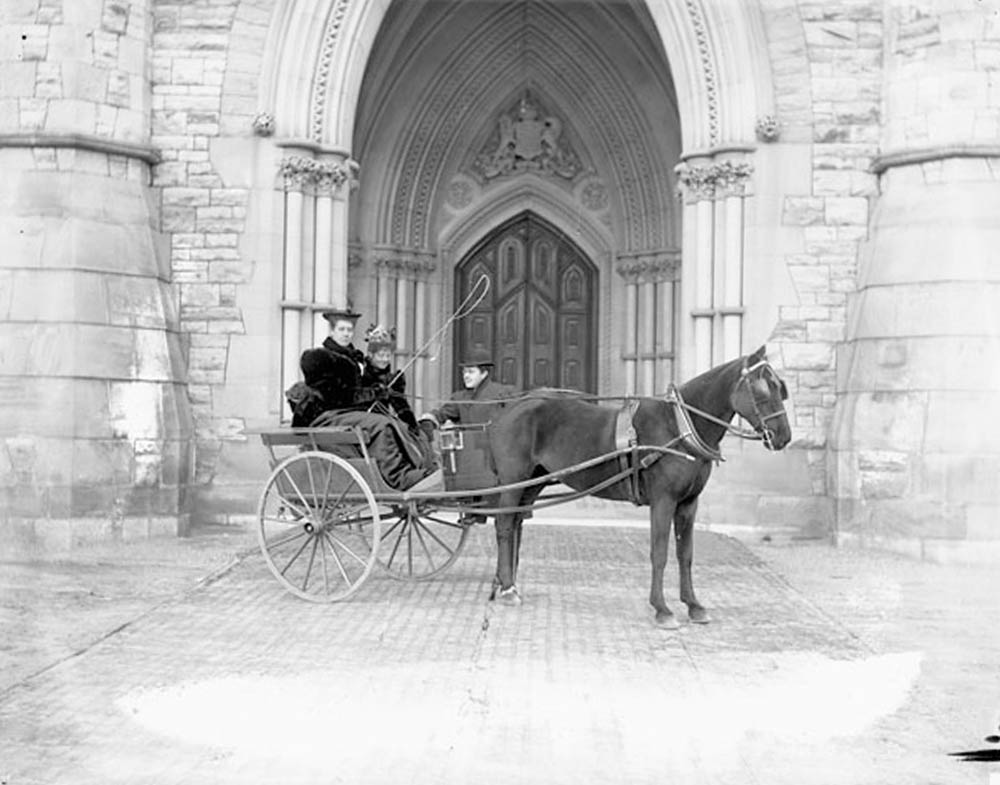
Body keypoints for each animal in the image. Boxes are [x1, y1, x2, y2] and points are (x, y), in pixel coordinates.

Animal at [484, 346, 788, 628]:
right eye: (762, 388)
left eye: (780, 387)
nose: (784, 436)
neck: (678, 427)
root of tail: (512, 407)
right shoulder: (664, 500)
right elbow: (660, 553)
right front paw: (662, 609)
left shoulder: (688, 503)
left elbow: (685, 554)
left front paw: (693, 604)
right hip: (513, 479)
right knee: (505, 526)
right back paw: (508, 588)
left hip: (533, 482)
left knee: (516, 524)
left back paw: (506, 581)